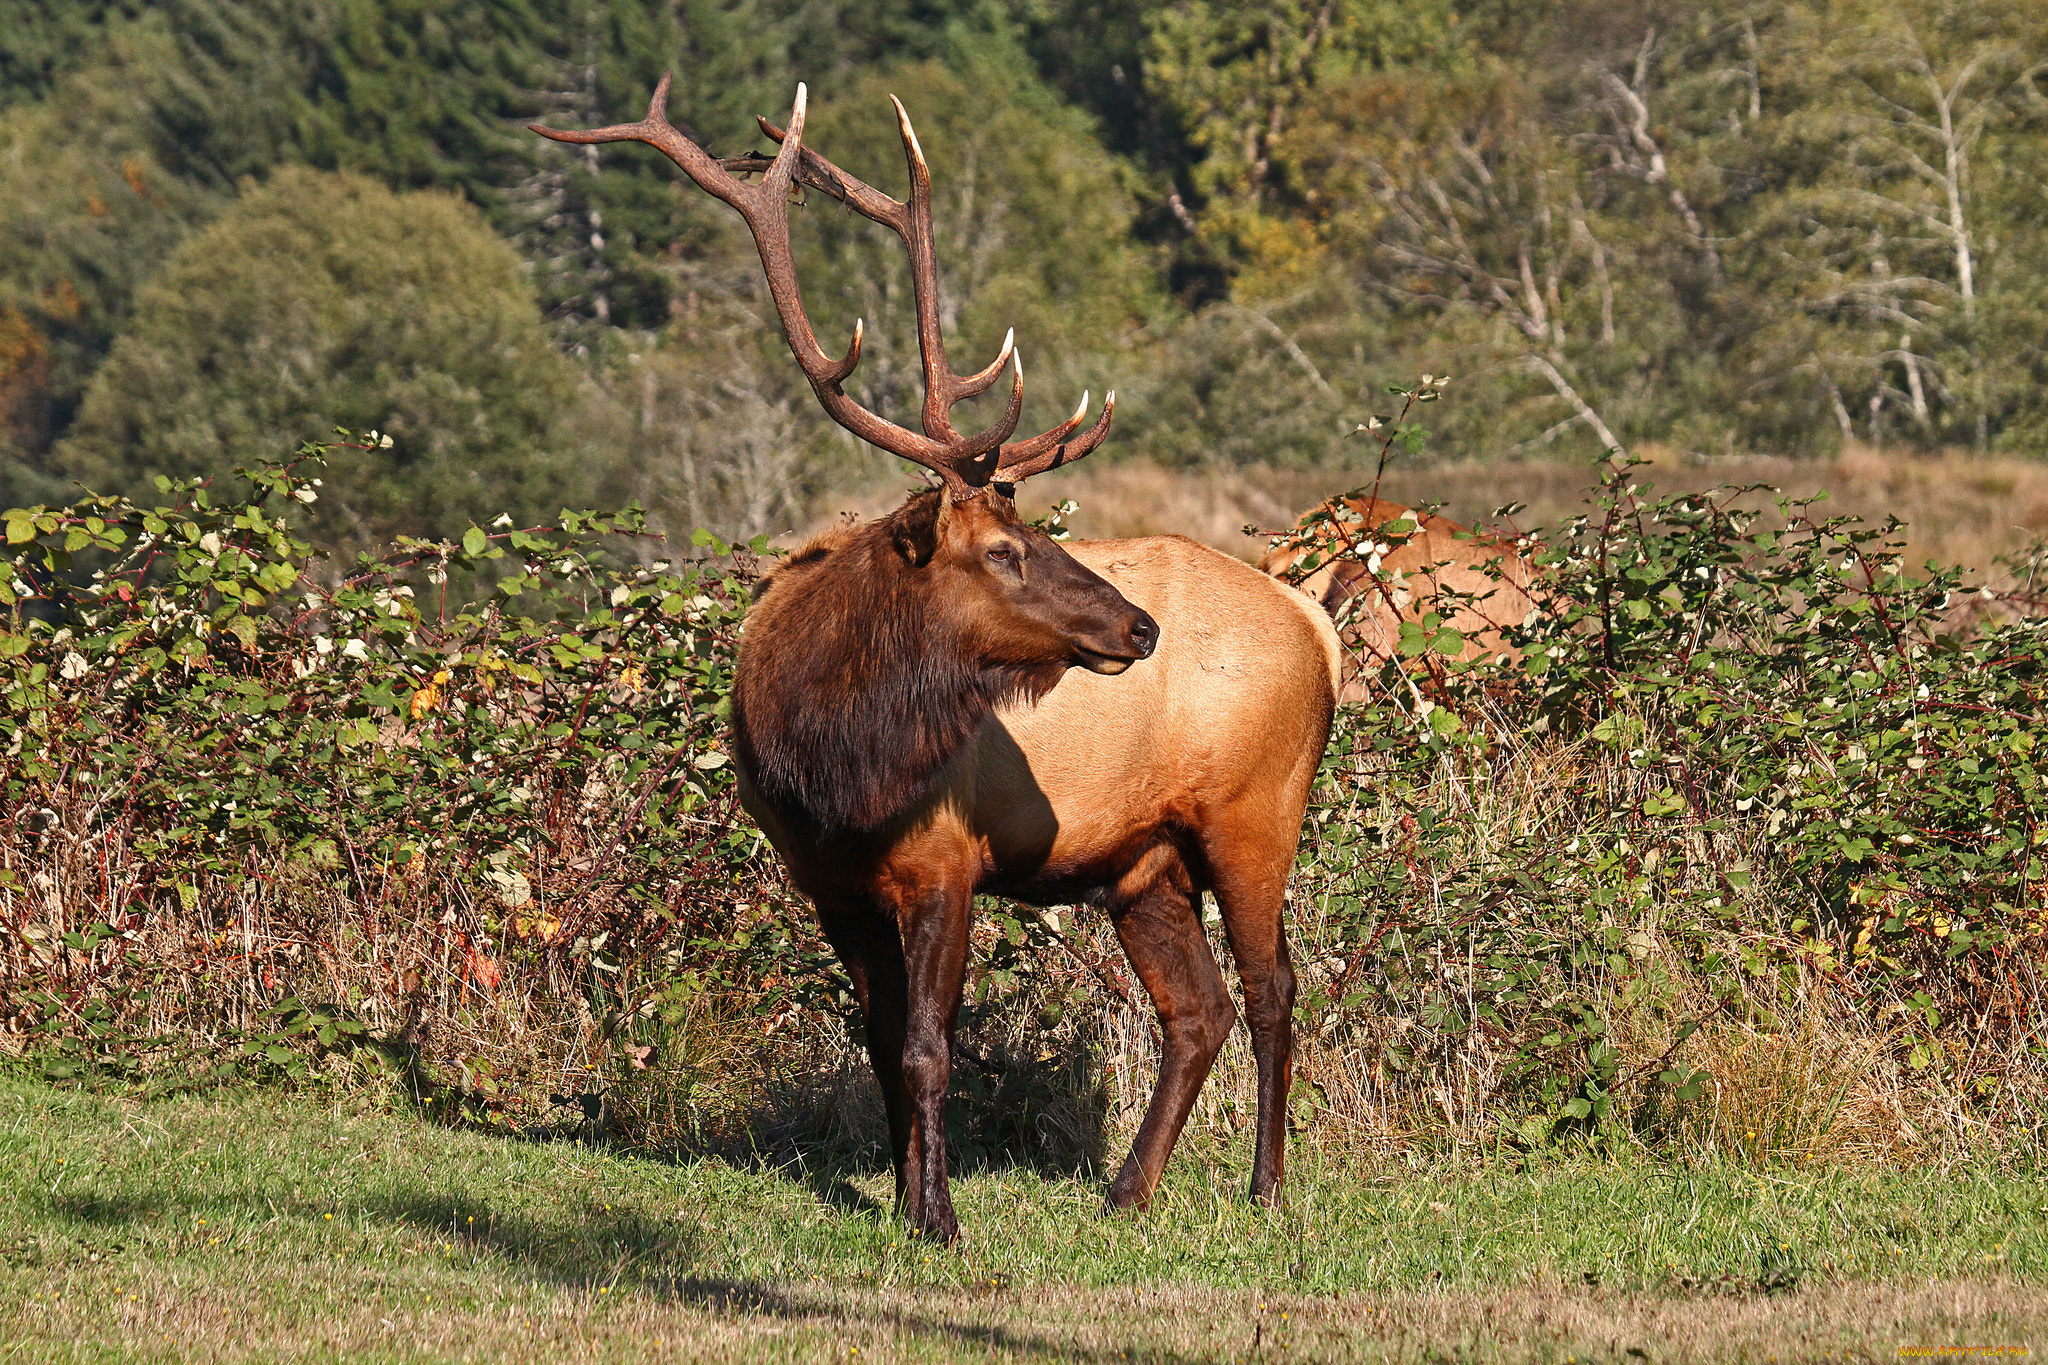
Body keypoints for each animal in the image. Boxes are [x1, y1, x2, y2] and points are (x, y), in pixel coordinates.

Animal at [532, 80, 1343, 1244]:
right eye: (1005, 548)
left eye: (1035, 530)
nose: (1139, 629)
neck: (830, 764)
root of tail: (1317, 627)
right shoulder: (825, 881)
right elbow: (877, 1044)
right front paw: (900, 1196)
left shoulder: (947, 861)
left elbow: (928, 1046)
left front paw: (939, 1218)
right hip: (1141, 860)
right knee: (1199, 1007)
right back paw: (1126, 1188)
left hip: (1253, 810)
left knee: (1275, 987)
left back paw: (1267, 1186)